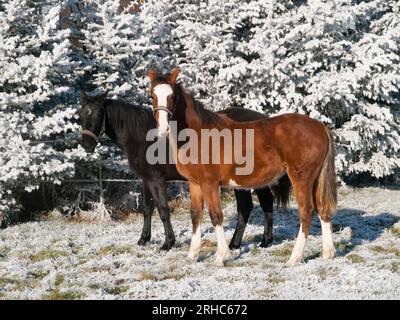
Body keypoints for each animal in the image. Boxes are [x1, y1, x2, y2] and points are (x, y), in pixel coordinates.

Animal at [79, 91, 290, 251]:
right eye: (81, 115)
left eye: (97, 115)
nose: (87, 145)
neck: (144, 137)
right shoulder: (146, 179)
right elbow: (147, 209)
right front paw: (144, 239)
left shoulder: (156, 179)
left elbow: (163, 210)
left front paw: (168, 243)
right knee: (264, 203)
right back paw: (262, 241)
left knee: (247, 207)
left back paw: (237, 244)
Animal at [148, 67, 336, 264]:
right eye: (152, 95)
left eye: (172, 96)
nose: (163, 129)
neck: (198, 135)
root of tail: (321, 127)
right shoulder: (194, 183)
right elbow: (195, 215)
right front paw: (192, 255)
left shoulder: (210, 183)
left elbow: (216, 215)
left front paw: (221, 256)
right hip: (315, 179)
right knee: (322, 209)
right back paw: (327, 253)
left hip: (301, 178)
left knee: (306, 211)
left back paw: (294, 258)